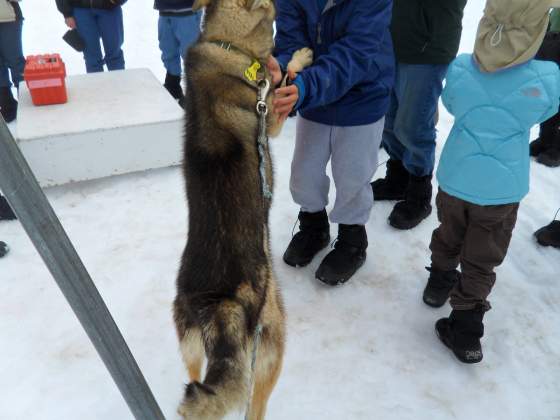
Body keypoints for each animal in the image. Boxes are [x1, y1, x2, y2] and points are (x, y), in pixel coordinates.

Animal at [175, 0, 312, 420]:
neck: (226, 44)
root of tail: (218, 304)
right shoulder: (271, 118)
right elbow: (285, 83)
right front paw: (300, 57)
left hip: (190, 350)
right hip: (273, 337)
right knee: (255, 403)